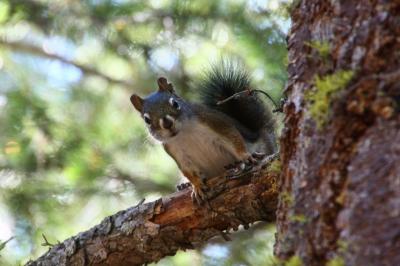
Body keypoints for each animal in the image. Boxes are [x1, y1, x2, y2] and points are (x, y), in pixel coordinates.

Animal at [130, 62, 276, 206]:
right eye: (147, 120)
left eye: (175, 103)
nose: (167, 123)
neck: (184, 133)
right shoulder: (176, 152)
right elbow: (188, 171)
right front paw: (196, 186)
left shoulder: (214, 122)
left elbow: (233, 138)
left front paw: (245, 156)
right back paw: (184, 185)